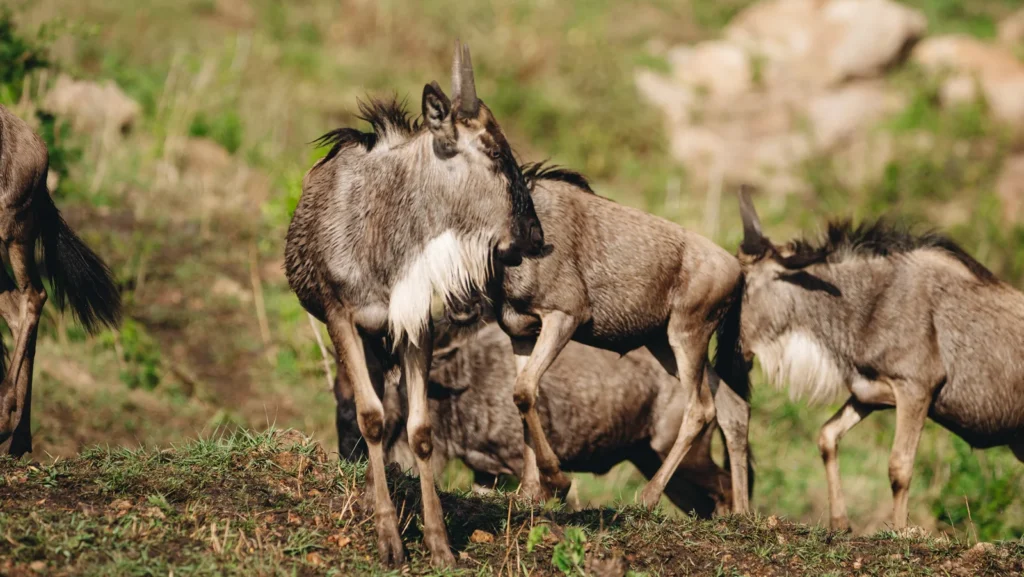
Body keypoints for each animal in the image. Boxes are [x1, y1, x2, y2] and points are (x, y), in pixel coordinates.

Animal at [0, 104, 122, 456]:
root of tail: (39, 148)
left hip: (13, 231)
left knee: (32, 297)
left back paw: (10, 426)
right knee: (15, 307)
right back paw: (18, 439)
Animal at [284, 43, 544, 567]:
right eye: (493, 151)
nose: (535, 236)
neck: (387, 233)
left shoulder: (416, 326)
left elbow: (419, 428)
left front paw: (438, 543)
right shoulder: (341, 318)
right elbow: (368, 417)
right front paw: (389, 539)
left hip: (383, 337)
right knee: (366, 410)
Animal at [335, 321, 751, 518]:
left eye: (386, 384)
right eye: (340, 394)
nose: (348, 450)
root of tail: (712, 379)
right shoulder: (484, 470)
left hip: (684, 454)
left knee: (725, 486)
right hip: (652, 460)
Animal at [450, 163, 753, 513]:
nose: (460, 307)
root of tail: (738, 271)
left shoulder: (564, 317)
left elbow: (525, 391)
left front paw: (557, 481)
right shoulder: (520, 333)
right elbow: (523, 397)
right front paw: (528, 492)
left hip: (687, 335)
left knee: (701, 409)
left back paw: (648, 497)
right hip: (665, 344)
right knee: (733, 408)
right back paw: (741, 512)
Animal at [734, 187, 1024, 531]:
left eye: (744, 288)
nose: (733, 349)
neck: (868, 302)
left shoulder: (916, 388)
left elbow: (899, 466)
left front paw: (900, 531)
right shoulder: (867, 394)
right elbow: (827, 436)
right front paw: (841, 522)